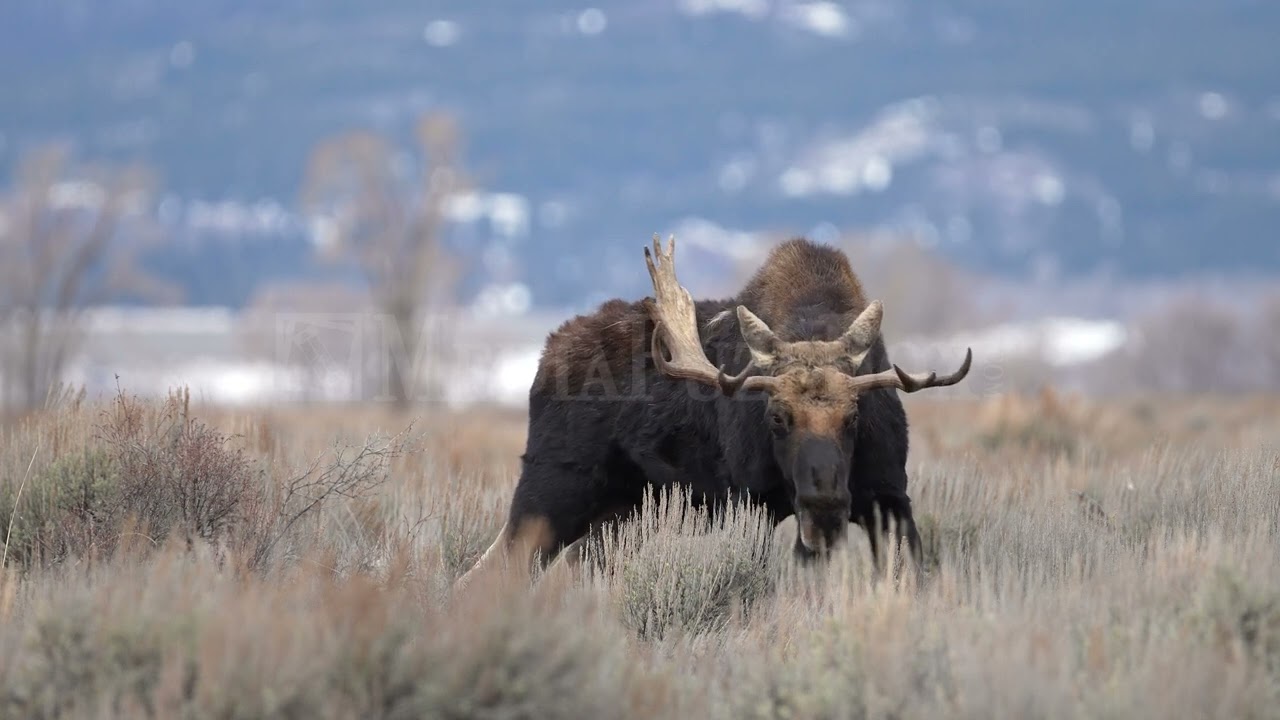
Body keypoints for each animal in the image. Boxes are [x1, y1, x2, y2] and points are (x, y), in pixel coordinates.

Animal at [456, 234, 971, 587]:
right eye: (776, 417)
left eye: (854, 417)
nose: (825, 506)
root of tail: (546, 354)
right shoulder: (753, 503)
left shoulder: (888, 496)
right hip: (552, 489)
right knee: (487, 571)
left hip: (621, 513)